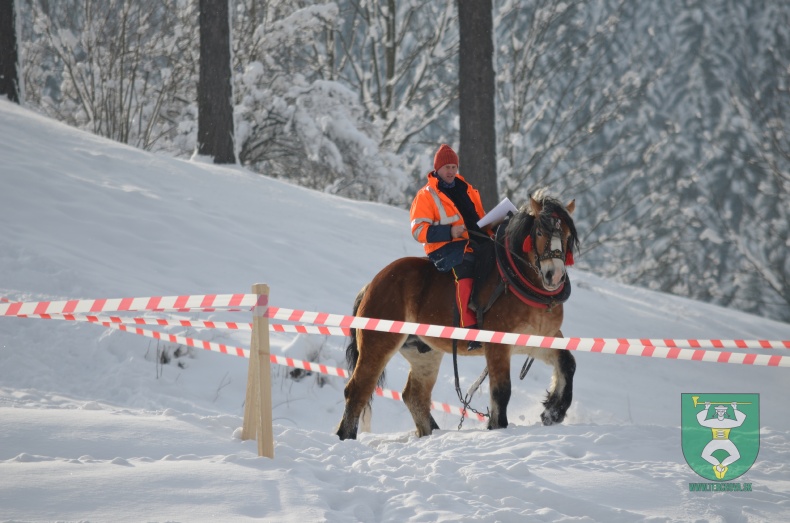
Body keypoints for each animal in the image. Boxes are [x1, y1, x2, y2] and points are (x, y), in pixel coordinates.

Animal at [336, 190, 580, 440]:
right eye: (540, 232)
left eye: (568, 234)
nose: (554, 275)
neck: (516, 280)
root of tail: (372, 284)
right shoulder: (498, 346)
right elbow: (502, 390)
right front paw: (498, 425)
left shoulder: (539, 338)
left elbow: (567, 363)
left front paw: (554, 410)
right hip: (378, 343)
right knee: (357, 390)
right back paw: (346, 436)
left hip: (424, 353)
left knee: (414, 396)